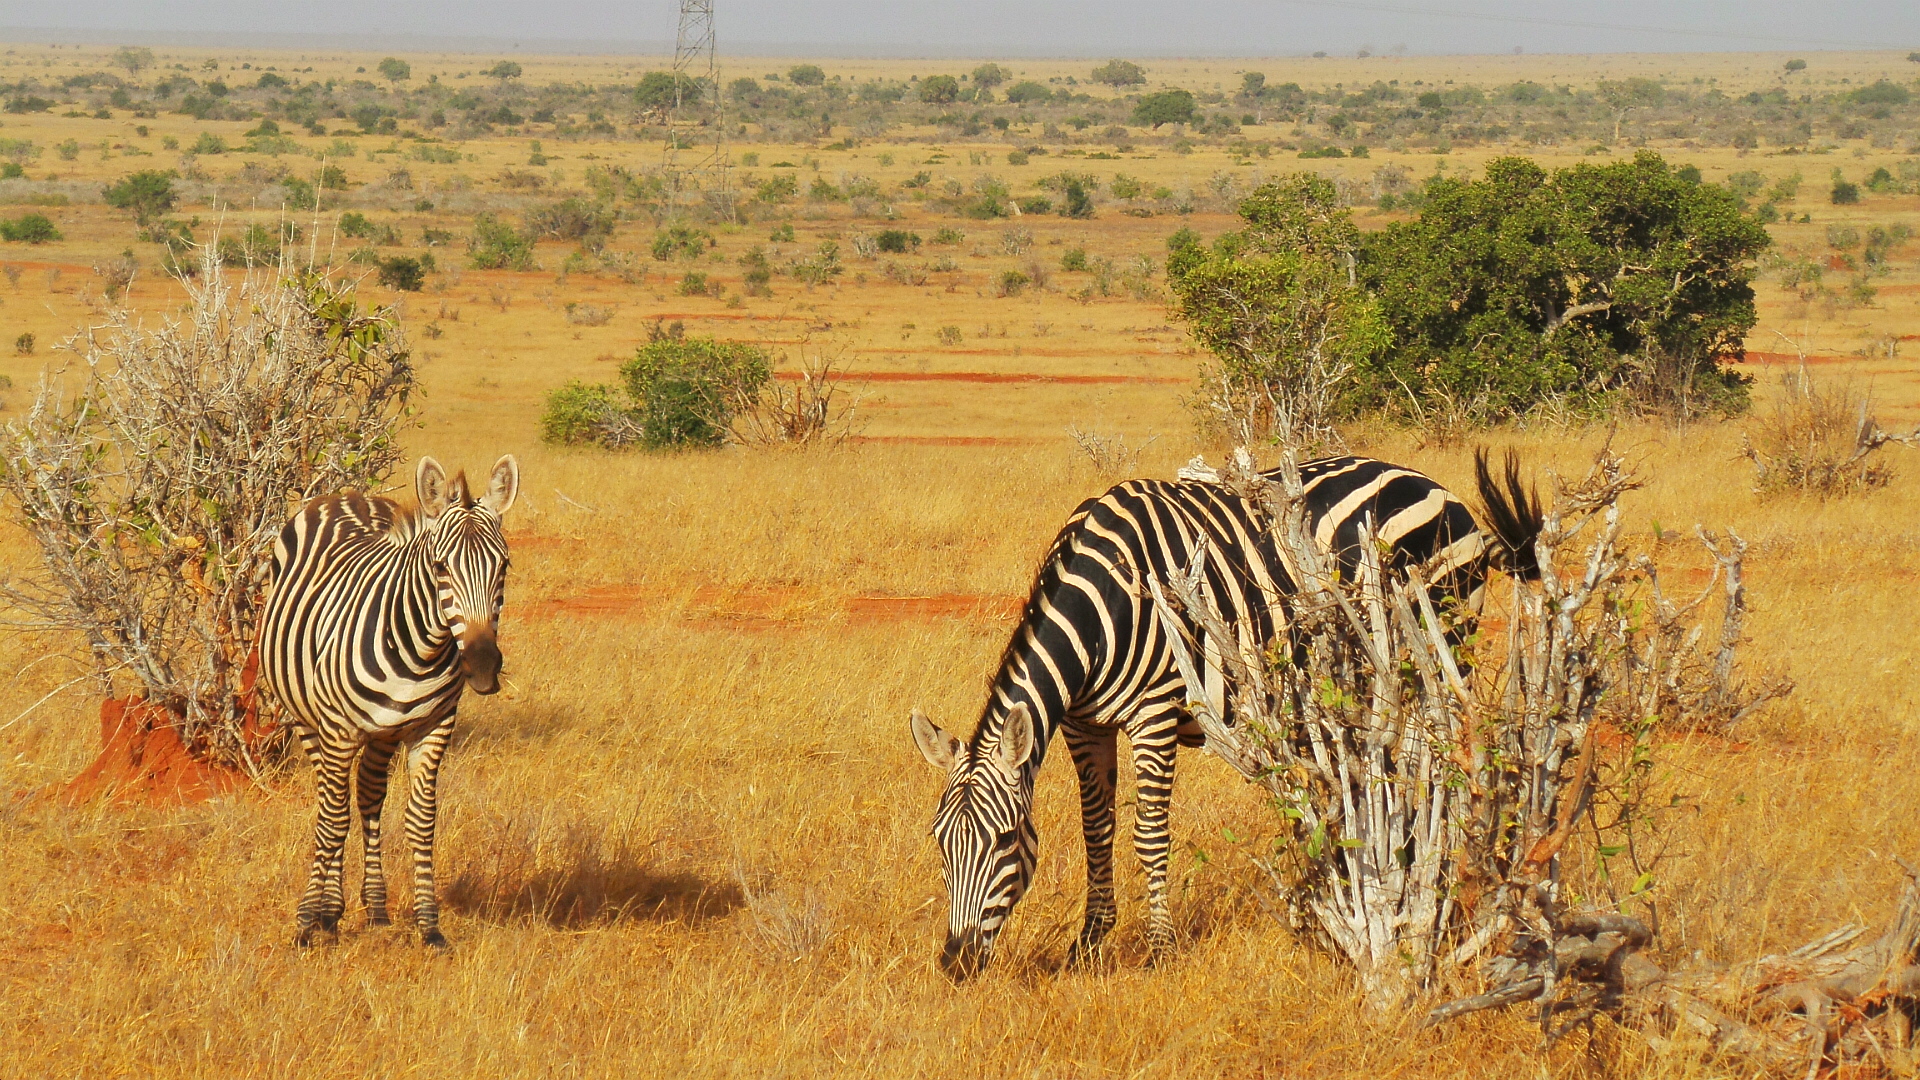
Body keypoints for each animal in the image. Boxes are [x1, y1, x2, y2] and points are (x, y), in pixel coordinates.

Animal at [263, 451, 522, 941]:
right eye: (440, 568)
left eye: (504, 567)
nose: (482, 668)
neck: (421, 650)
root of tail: (345, 495)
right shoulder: (337, 730)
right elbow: (332, 823)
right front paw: (307, 922)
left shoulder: (434, 728)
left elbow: (421, 821)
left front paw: (429, 925)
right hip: (307, 720)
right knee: (333, 804)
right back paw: (328, 910)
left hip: (383, 733)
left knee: (366, 795)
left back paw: (375, 909)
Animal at [910, 449, 1543, 972]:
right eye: (940, 842)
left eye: (1005, 841)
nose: (956, 964)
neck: (1102, 604)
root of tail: (1437, 486)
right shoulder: (1083, 725)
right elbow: (1097, 828)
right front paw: (1088, 943)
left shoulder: (1157, 712)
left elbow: (1148, 833)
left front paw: (1160, 951)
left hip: (1440, 644)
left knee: (1445, 757)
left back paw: (1440, 876)